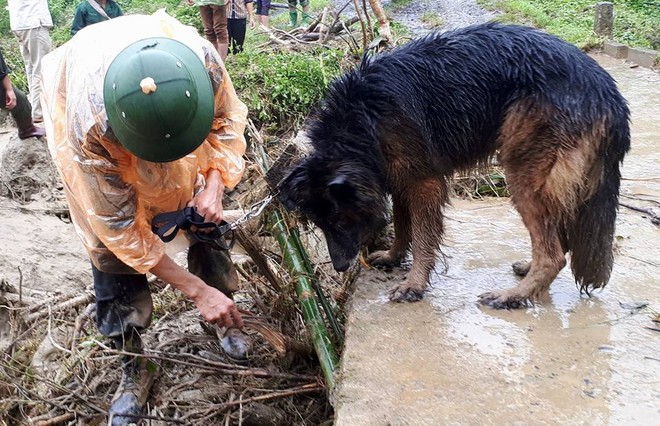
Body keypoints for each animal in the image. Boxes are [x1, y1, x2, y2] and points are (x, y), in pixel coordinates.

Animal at [276, 22, 632, 306]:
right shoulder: (400, 177)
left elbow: (422, 238)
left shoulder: (424, 183)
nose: (339, 267)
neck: (362, 122)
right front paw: (393, 256)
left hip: (524, 175)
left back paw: (513, 296)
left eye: (339, 221)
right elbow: (403, 226)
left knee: (554, 254)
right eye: (321, 224)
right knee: (558, 240)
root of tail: (608, 90)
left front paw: (414, 284)